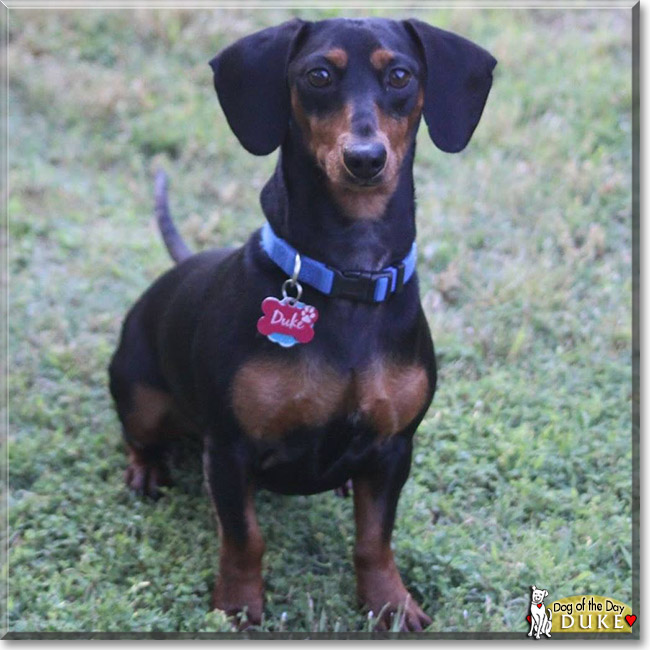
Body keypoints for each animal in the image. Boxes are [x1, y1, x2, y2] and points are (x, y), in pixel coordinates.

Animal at [109, 19, 494, 628]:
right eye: (317, 75)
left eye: (400, 75)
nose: (365, 159)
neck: (347, 279)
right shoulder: (230, 449)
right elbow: (244, 537)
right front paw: (238, 607)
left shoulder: (395, 447)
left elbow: (374, 539)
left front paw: (390, 603)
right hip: (142, 396)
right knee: (138, 433)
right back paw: (146, 470)